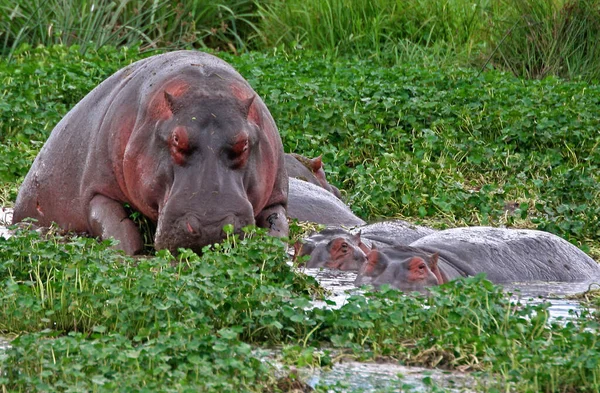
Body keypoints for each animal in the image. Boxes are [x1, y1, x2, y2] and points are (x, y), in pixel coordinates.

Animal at [11, 49, 288, 254]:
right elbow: (119, 228)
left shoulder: (276, 195)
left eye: (244, 143)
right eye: (176, 139)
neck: (204, 84)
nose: (211, 226)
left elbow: (278, 227)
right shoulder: (96, 188)